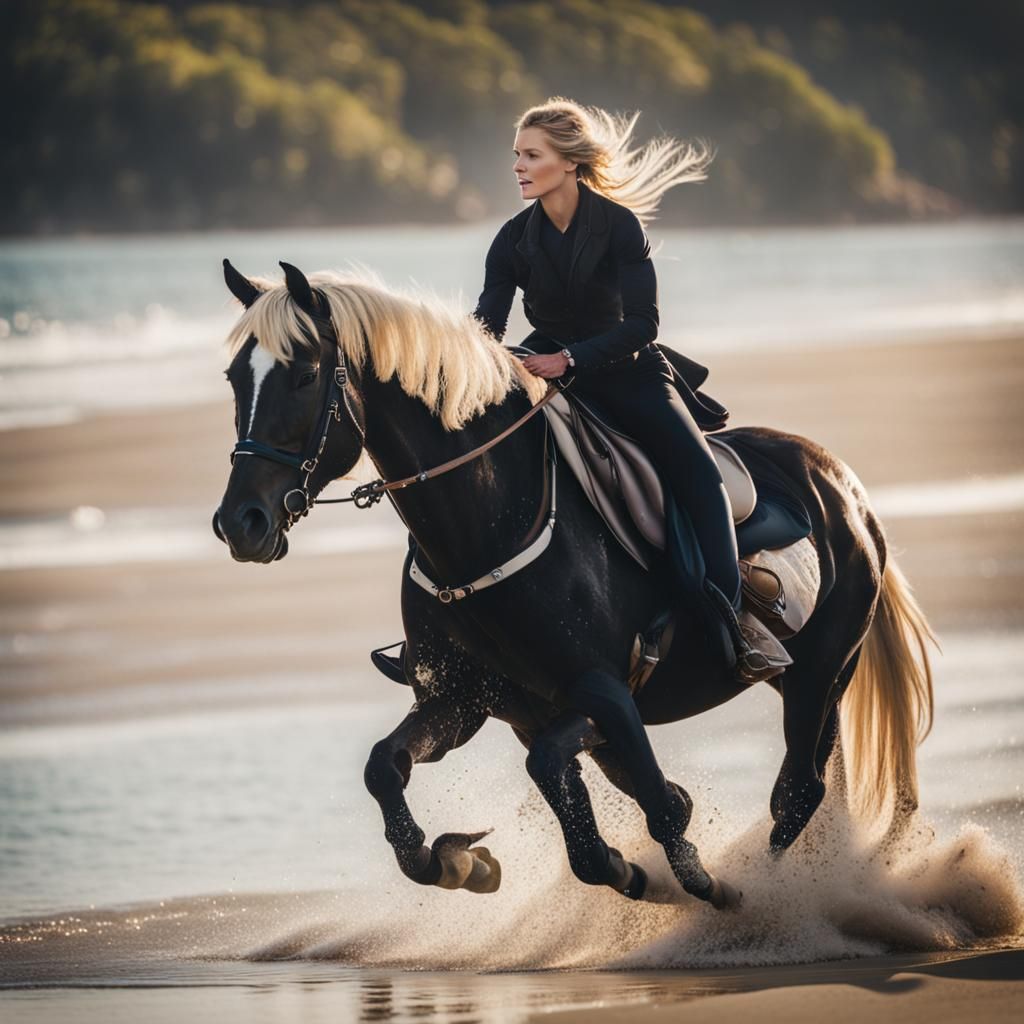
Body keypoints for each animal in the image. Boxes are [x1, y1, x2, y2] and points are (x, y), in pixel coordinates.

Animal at [212, 258, 936, 909]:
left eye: (305, 375)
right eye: (233, 377)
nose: (240, 523)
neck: (486, 530)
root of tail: (842, 484)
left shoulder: (604, 695)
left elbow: (611, 800)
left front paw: (689, 880)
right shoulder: (465, 702)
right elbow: (385, 768)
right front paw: (458, 862)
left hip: (820, 669)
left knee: (796, 793)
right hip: (803, 682)